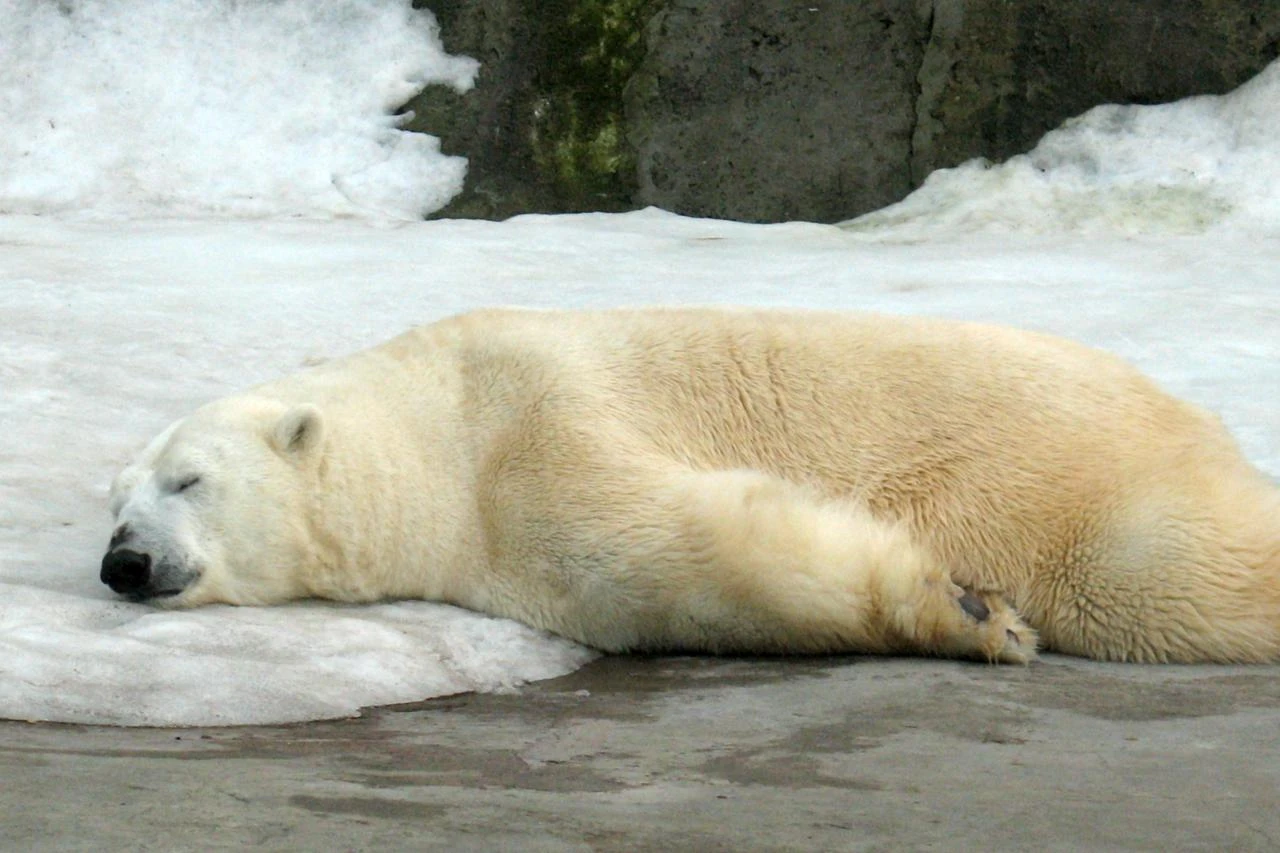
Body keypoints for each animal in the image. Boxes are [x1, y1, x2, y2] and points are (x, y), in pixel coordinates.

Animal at [101, 308, 1280, 663]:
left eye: (187, 478)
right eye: (115, 501)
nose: (122, 562)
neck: (436, 423)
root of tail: (1193, 416)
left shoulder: (540, 419)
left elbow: (691, 536)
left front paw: (968, 609)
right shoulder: (507, 538)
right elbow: (691, 581)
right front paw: (970, 608)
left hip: (1087, 481)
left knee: (1171, 579)